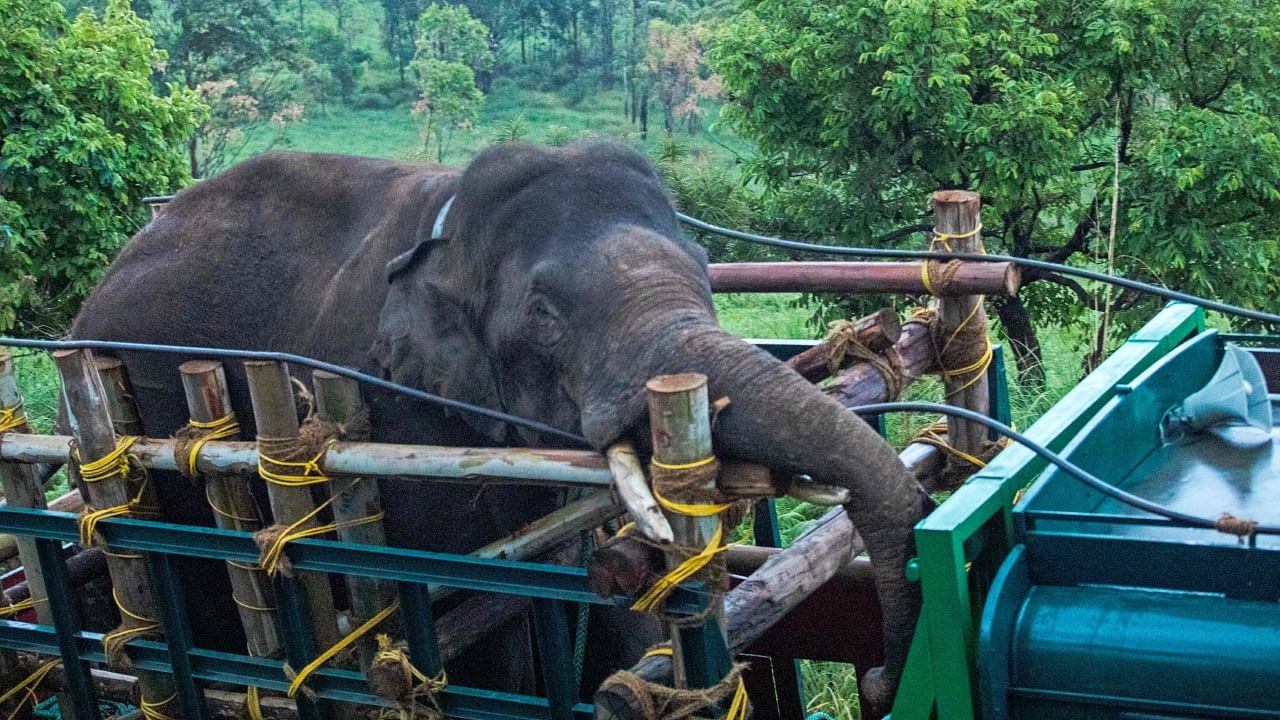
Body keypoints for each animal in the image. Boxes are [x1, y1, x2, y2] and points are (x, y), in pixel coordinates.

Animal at [70, 141, 926, 712]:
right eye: (545, 313)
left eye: (706, 271)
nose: (882, 680)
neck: (449, 229)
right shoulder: (395, 410)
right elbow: (474, 623)